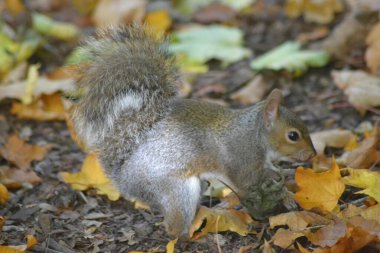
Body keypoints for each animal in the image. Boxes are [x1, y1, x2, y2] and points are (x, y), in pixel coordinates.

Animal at [69, 26, 318, 239]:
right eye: (293, 135)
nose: (313, 155)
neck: (254, 134)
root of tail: (123, 178)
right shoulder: (242, 162)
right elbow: (248, 182)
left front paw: (284, 182)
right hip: (178, 190)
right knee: (173, 226)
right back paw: (189, 235)